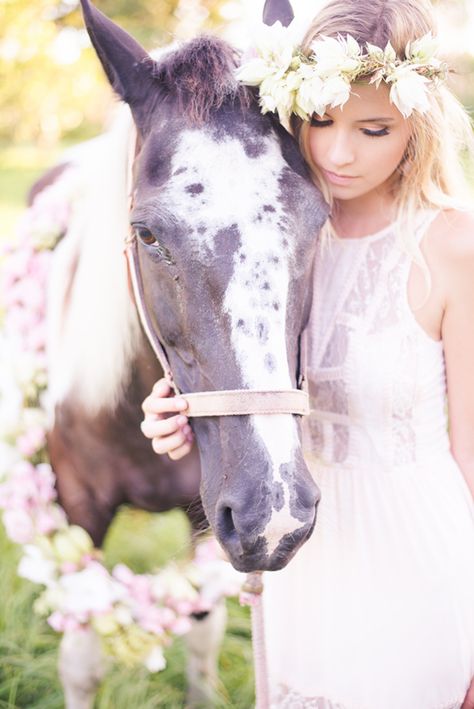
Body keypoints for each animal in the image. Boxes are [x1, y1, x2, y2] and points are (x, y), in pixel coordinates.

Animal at [30, 0, 330, 704]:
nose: (275, 513)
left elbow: (200, 629)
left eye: (320, 219)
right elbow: (80, 657)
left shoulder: (208, 518)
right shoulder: (76, 506)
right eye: (146, 234)